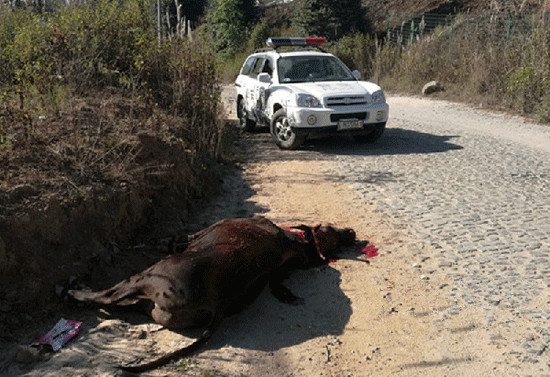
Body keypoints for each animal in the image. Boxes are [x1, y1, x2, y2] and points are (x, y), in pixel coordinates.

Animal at [68, 216, 358, 372]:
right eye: (332, 228)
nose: (353, 233)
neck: (298, 242)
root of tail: (218, 302)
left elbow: (171, 239)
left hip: (145, 278)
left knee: (106, 297)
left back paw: (76, 291)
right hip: (153, 307)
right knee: (121, 305)